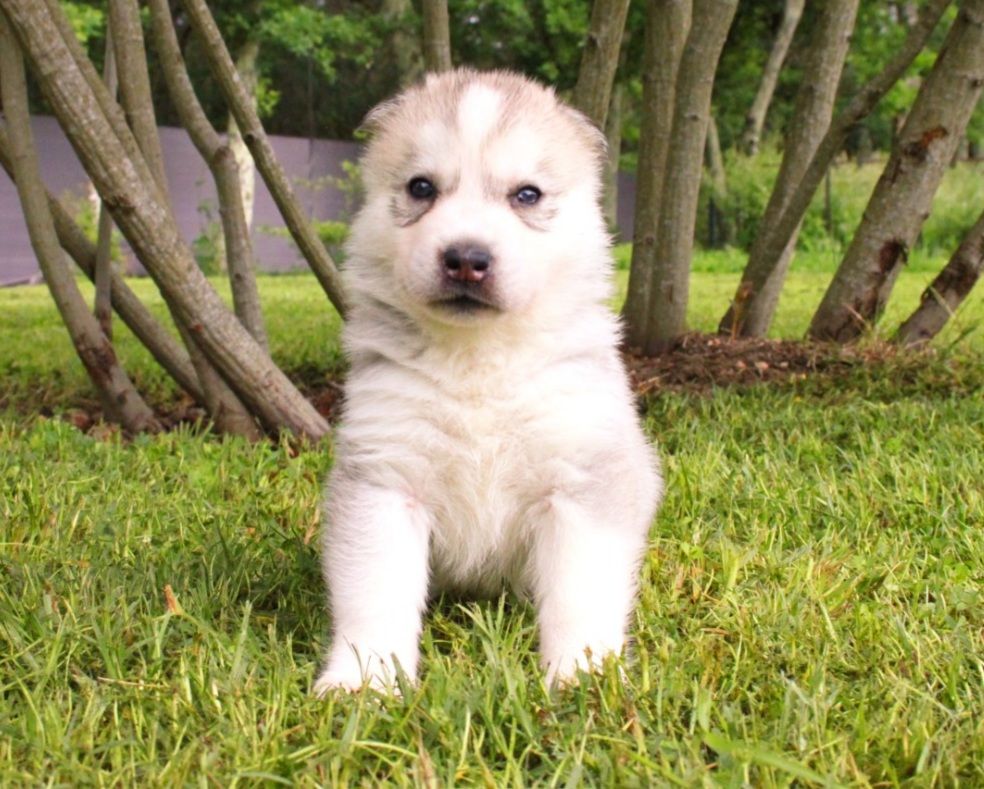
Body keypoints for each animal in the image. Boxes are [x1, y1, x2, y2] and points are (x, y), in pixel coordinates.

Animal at [314, 69, 661, 694]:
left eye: (527, 195)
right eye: (421, 187)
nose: (466, 258)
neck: (476, 361)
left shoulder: (581, 480)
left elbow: (580, 591)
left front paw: (582, 674)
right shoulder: (385, 477)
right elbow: (374, 592)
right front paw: (365, 678)